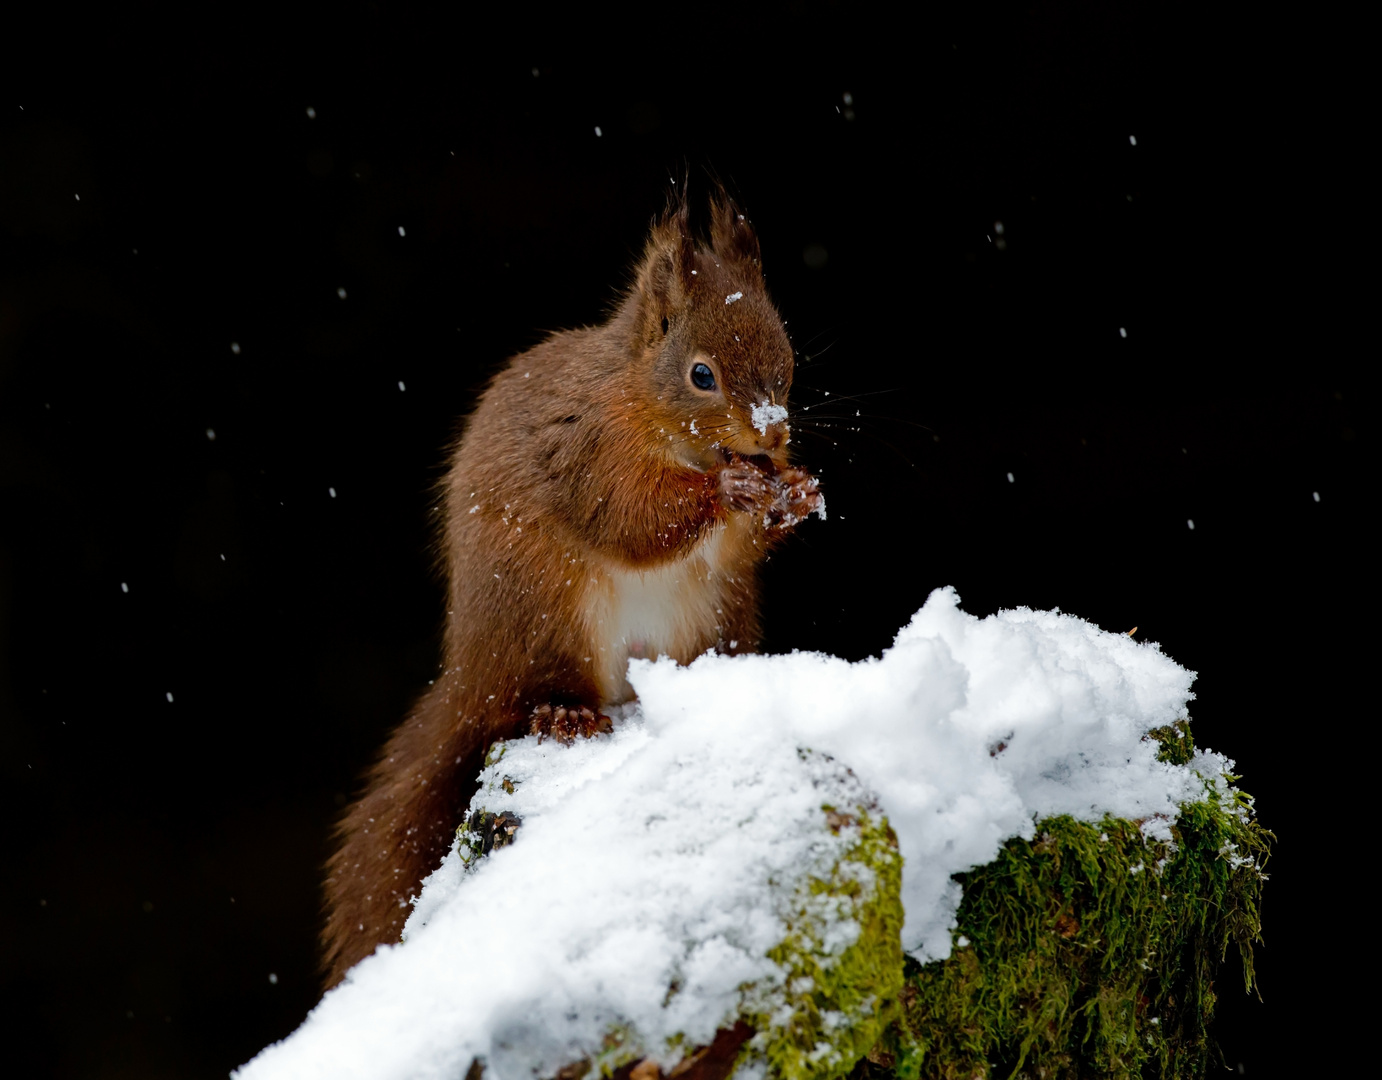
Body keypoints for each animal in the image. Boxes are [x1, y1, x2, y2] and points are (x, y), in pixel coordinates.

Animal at [322, 188, 818, 984]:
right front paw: (729, 491)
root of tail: (469, 673)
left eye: (787, 356)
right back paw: (566, 714)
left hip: (715, 618)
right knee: (528, 699)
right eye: (701, 375)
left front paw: (795, 491)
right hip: (548, 618)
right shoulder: (586, 448)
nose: (772, 437)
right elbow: (632, 518)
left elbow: (733, 546)